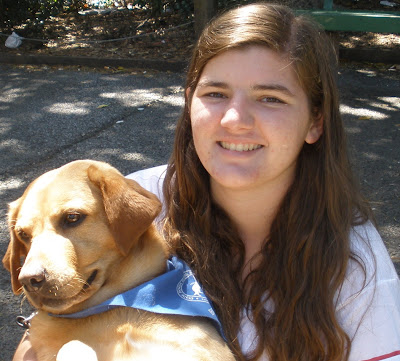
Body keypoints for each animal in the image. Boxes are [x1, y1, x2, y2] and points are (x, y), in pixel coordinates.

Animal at [3, 160, 234, 360]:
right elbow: (72, 345)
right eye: (22, 234)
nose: (29, 279)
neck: (109, 306)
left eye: (72, 217)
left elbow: (73, 345)